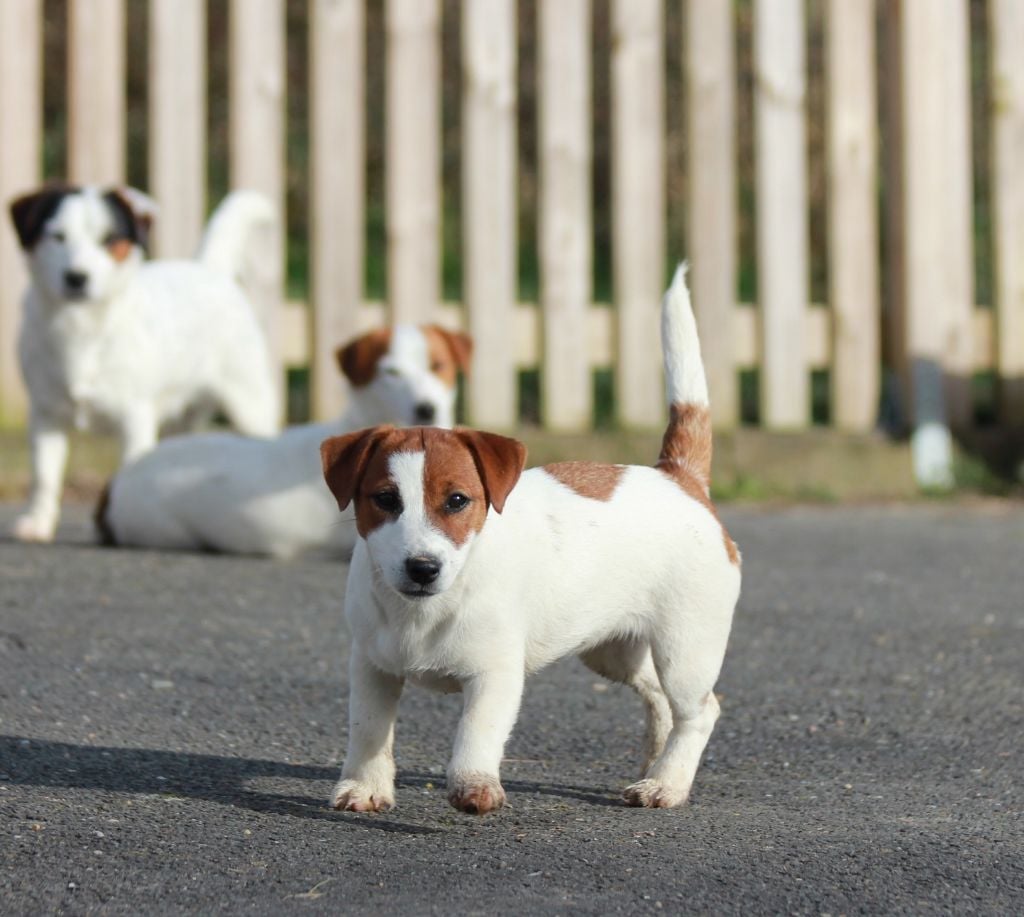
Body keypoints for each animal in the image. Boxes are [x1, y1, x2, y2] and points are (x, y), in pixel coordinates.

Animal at [9, 186, 280, 544]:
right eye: (57, 237)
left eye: (109, 239)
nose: (76, 278)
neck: (81, 327)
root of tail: (208, 269)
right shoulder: (45, 416)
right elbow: (44, 476)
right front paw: (38, 522)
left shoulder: (134, 419)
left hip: (249, 404)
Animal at [321, 266, 745, 818]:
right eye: (385, 499)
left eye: (457, 500)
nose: (422, 568)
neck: (424, 611)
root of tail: (678, 477)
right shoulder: (372, 667)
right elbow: (368, 730)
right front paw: (364, 787)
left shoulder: (495, 674)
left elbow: (475, 734)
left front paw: (474, 786)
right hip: (614, 650)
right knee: (659, 699)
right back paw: (655, 765)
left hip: (687, 645)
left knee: (699, 711)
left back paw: (667, 784)